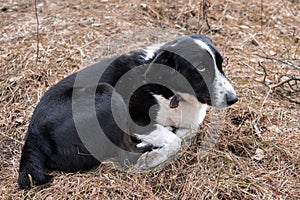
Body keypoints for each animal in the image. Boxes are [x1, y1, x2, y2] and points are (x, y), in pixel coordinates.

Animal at [17, 34, 238, 189]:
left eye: (221, 63)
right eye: (200, 67)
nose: (233, 99)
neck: (172, 91)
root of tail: (33, 137)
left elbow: (187, 132)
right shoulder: (136, 119)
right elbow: (174, 141)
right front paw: (153, 157)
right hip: (107, 94)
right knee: (124, 155)